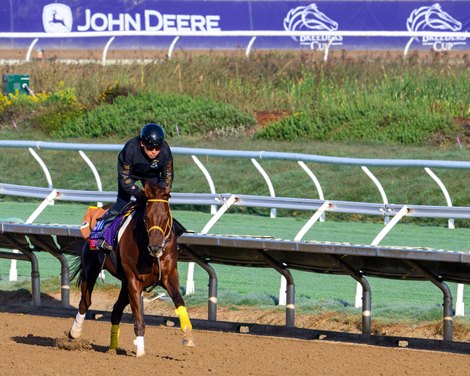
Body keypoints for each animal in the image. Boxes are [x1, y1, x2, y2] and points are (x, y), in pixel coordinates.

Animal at [67, 181, 194, 356]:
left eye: (166, 217)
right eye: (146, 218)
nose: (155, 247)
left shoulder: (169, 276)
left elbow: (179, 301)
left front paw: (188, 335)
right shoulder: (134, 280)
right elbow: (139, 319)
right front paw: (140, 352)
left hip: (124, 284)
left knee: (116, 310)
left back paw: (113, 348)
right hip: (92, 270)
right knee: (85, 302)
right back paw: (74, 333)